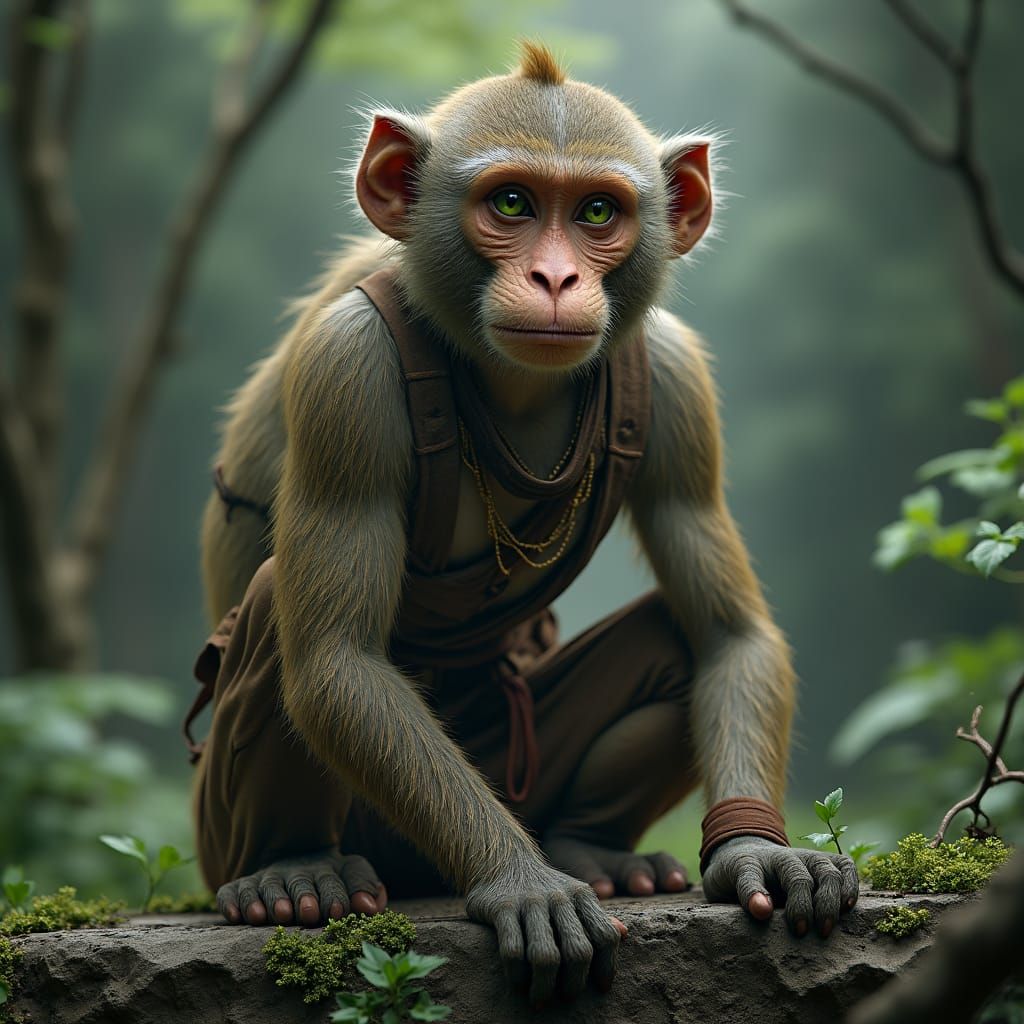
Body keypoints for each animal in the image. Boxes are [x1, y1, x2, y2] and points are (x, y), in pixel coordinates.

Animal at [190, 43, 859, 1005]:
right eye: (511, 204)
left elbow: (731, 635)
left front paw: (757, 855)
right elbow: (337, 662)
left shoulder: (674, 371)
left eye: (596, 212)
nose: (556, 278)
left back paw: (594, 848)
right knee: (284, 617)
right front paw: (523, 882)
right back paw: (293, 870)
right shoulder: (345, 369)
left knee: (674, 638)